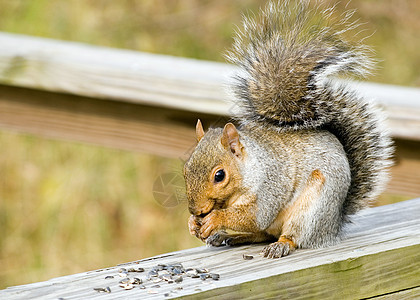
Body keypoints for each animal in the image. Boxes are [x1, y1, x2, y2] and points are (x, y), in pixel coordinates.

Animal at [182, 0, 392, 258]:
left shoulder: (269, 187)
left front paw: (215, 220)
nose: (197, 210)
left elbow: (254, 216)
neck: (252, 167)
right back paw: (229, 237)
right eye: (185, 170)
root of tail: (333, 225)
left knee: (290, 235)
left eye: (219, 176)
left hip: (312, 211)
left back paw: (280, 244)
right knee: (260, 234)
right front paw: (193, 224)